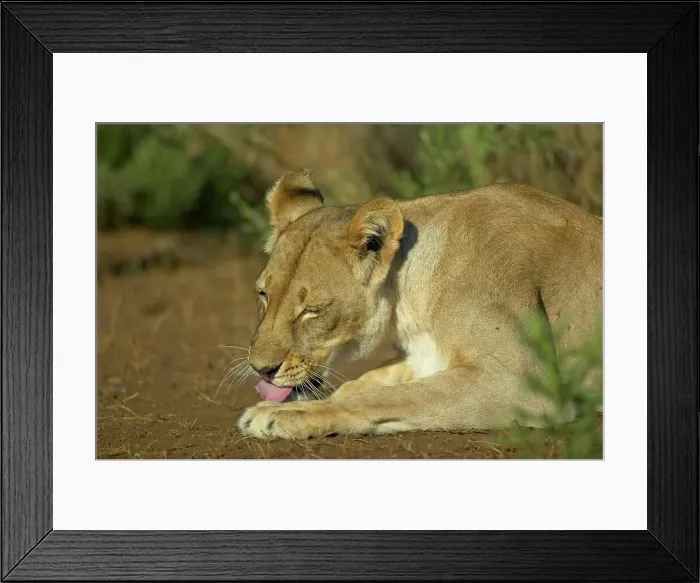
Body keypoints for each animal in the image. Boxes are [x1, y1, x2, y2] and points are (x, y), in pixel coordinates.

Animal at [236, 169, 602, 439]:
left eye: (312, 311)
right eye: (264, 295)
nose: (261, 369)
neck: (407, 304)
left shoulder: (524, 383)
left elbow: (390, 397)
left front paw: (284, 414)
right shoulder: (425, 354)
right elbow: (362, 384)